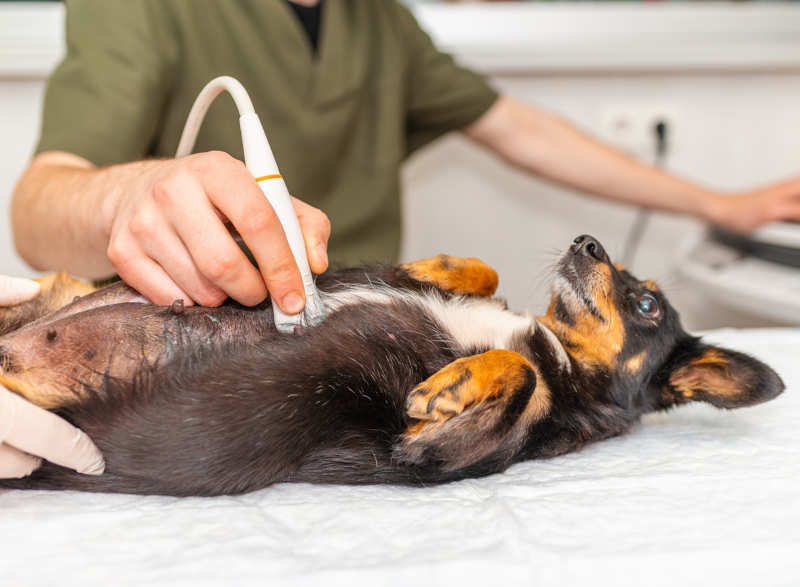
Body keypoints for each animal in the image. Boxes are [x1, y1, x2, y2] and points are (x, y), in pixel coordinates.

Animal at [0, 234, 784, 496]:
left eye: (647, 302)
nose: (586, 241)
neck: (557, 348)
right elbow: (480, 273)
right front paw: (437, 267)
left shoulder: (423, 456)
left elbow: (521, 376)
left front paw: (448, 386)